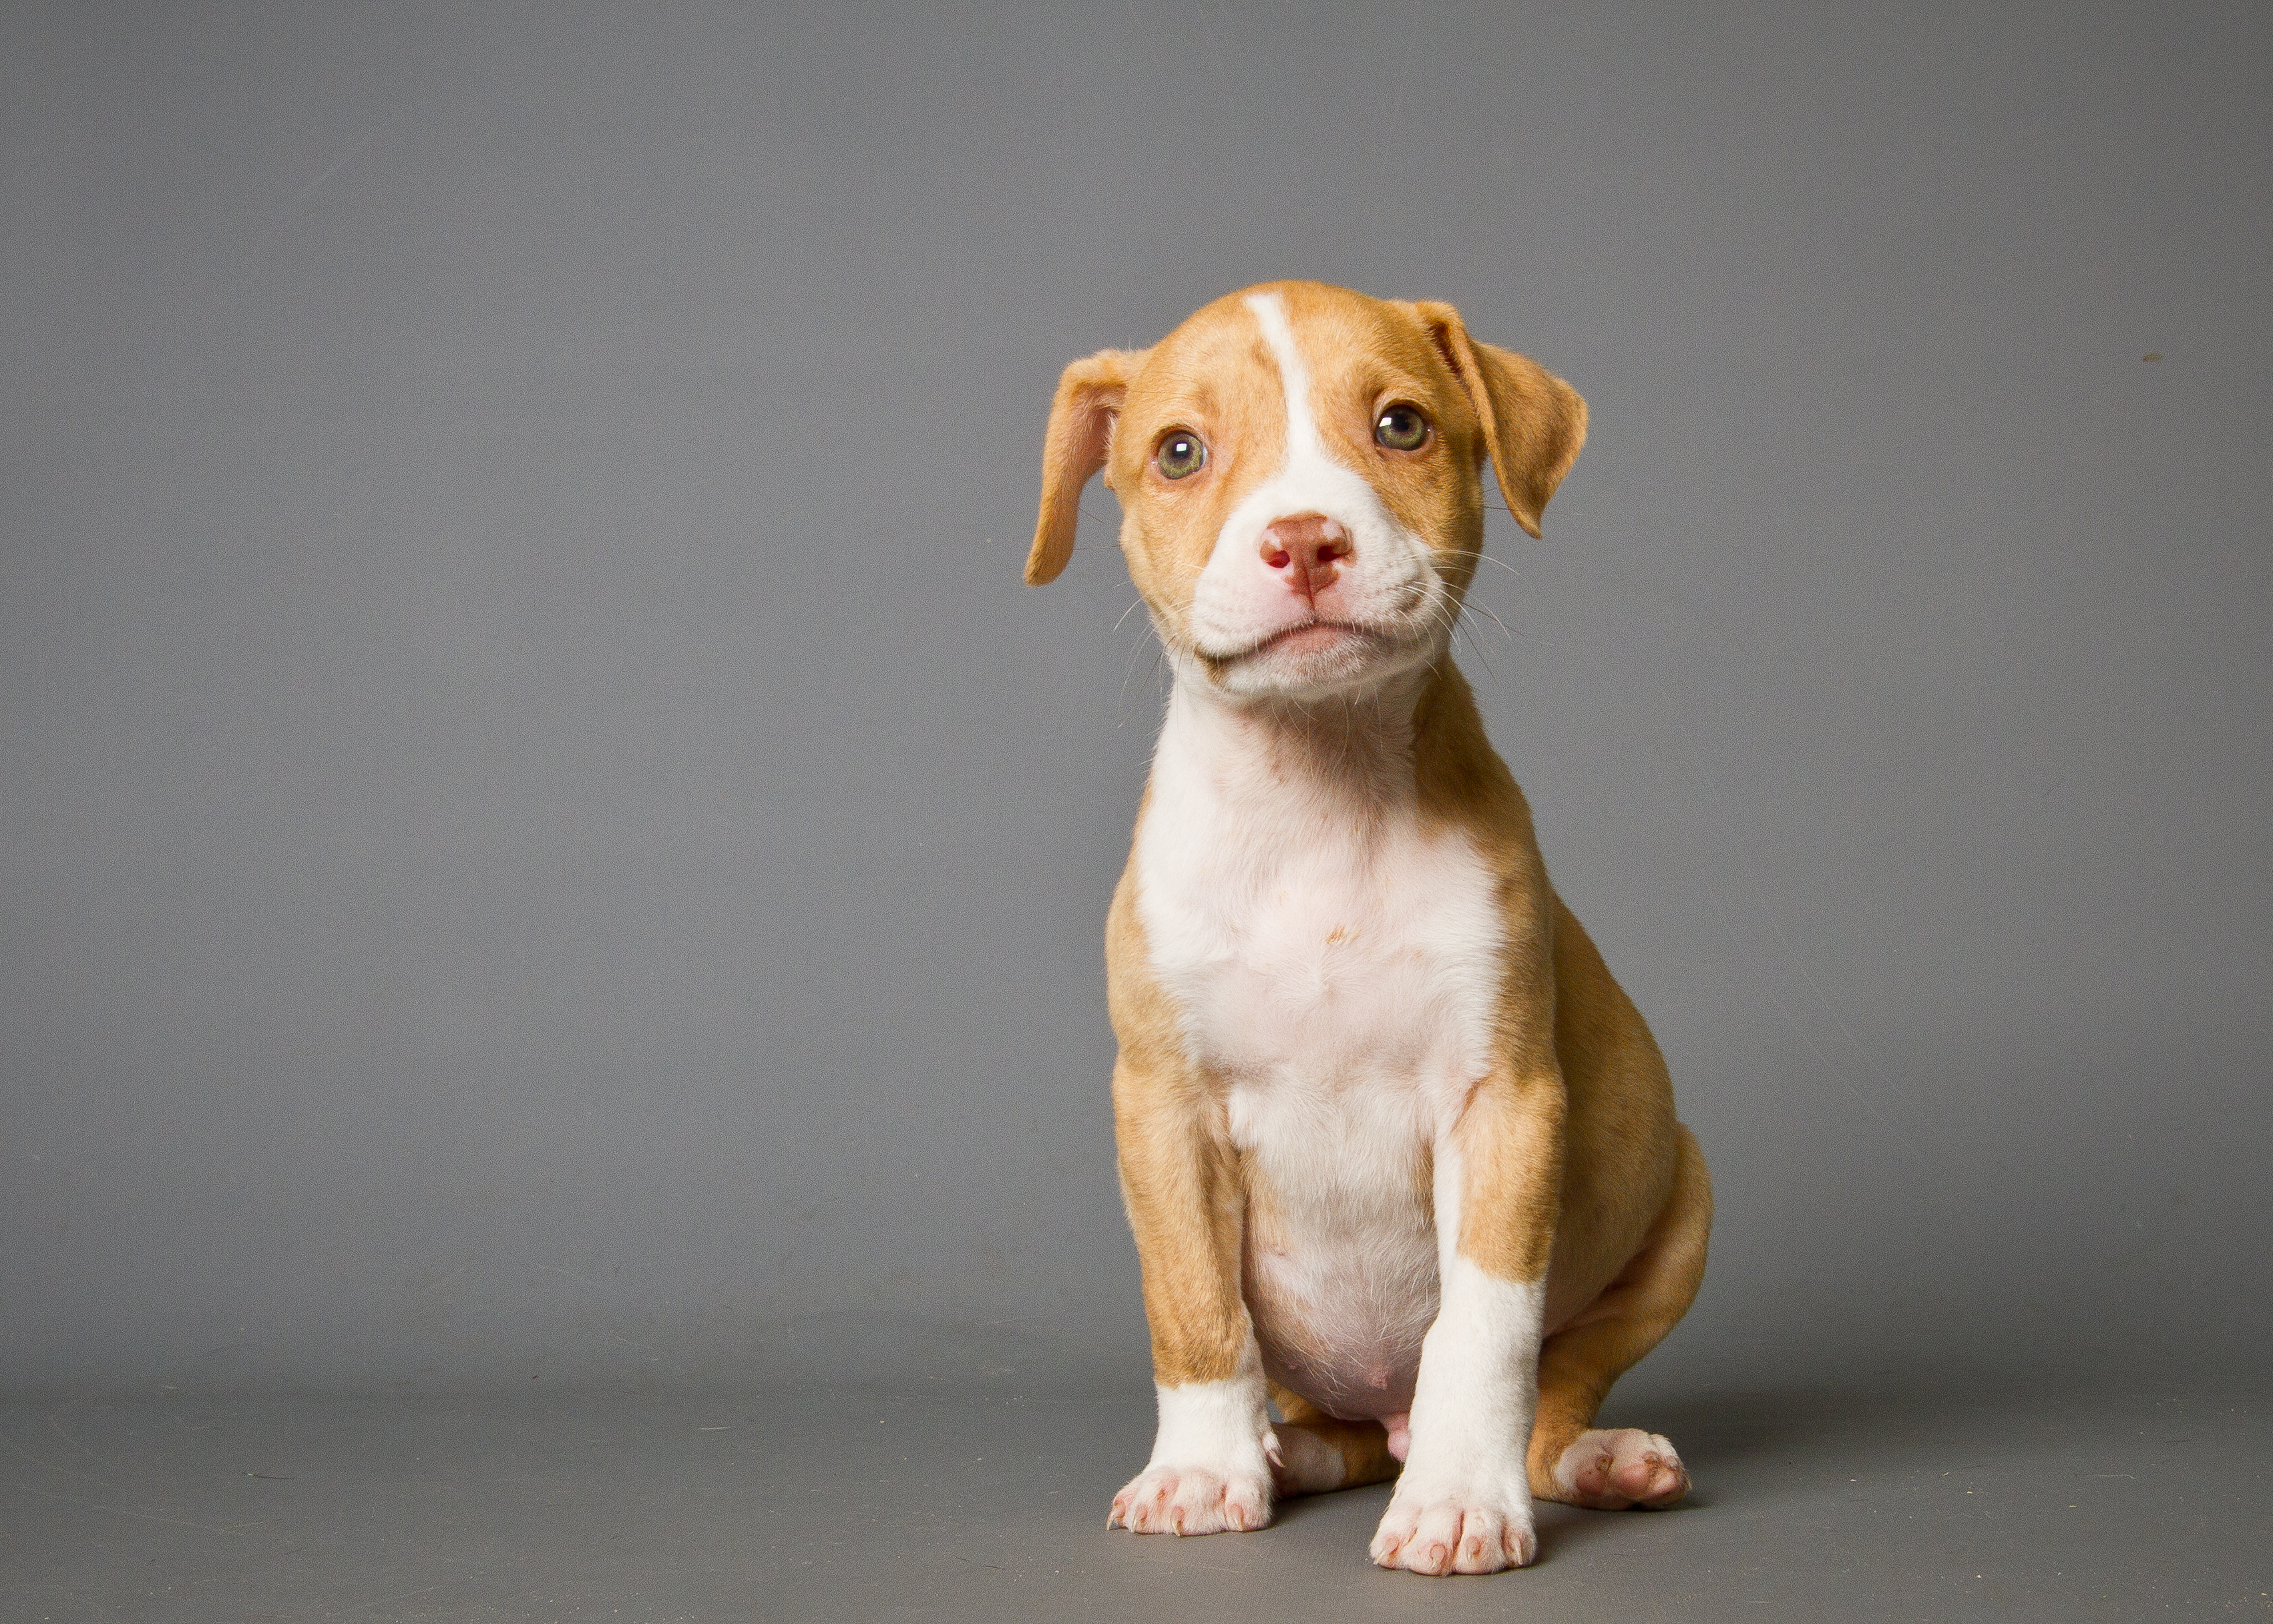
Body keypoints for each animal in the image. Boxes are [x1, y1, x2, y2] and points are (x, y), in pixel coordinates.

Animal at [1027, 284, 1709, 1574]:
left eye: (1401, 426)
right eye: (1178, 452)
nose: (1303, 540)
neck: (1319, 795)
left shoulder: (1505, 1103)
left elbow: (1483, 1328)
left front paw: (1458, 1499)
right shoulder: (1161, 1106)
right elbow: (1194, 1306)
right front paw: (1201, 1471)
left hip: (1683, 1205)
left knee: (1553, 1396)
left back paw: (1589, 1462)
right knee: (1321, 1422)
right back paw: (1278, 1451)